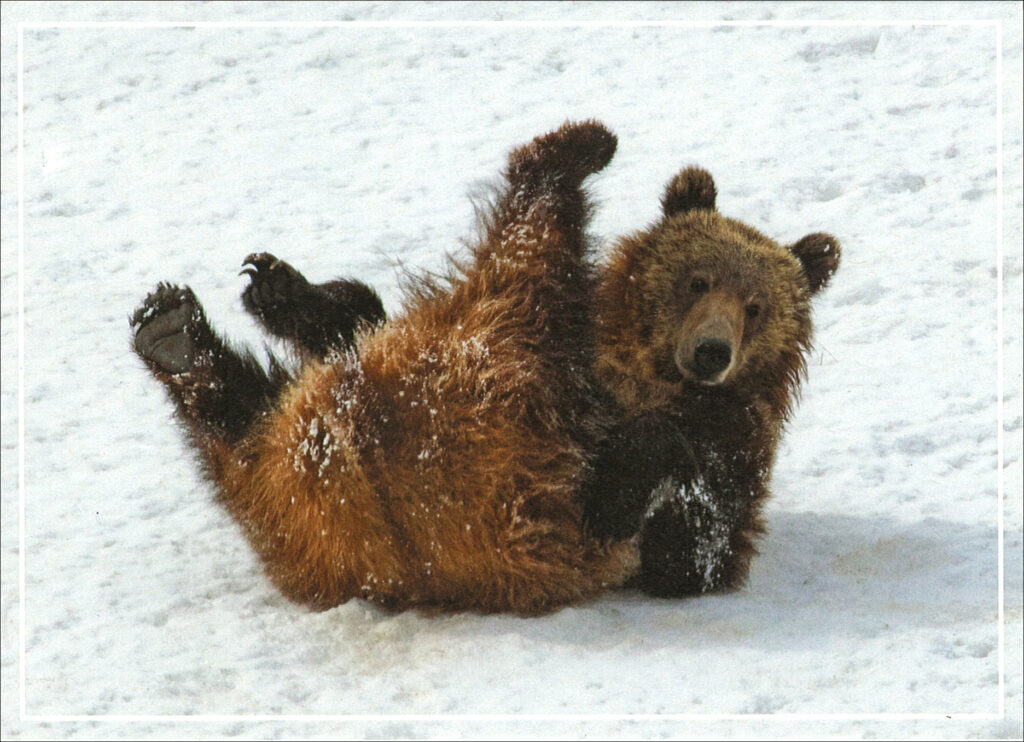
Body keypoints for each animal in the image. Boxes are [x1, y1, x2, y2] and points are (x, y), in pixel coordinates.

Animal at [581, 165, 840, 598]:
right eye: (699, 281)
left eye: (755, 306)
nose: (712, 351)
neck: (662, 379)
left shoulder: (738, 439)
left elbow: (697, 544)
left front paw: (615, 503)